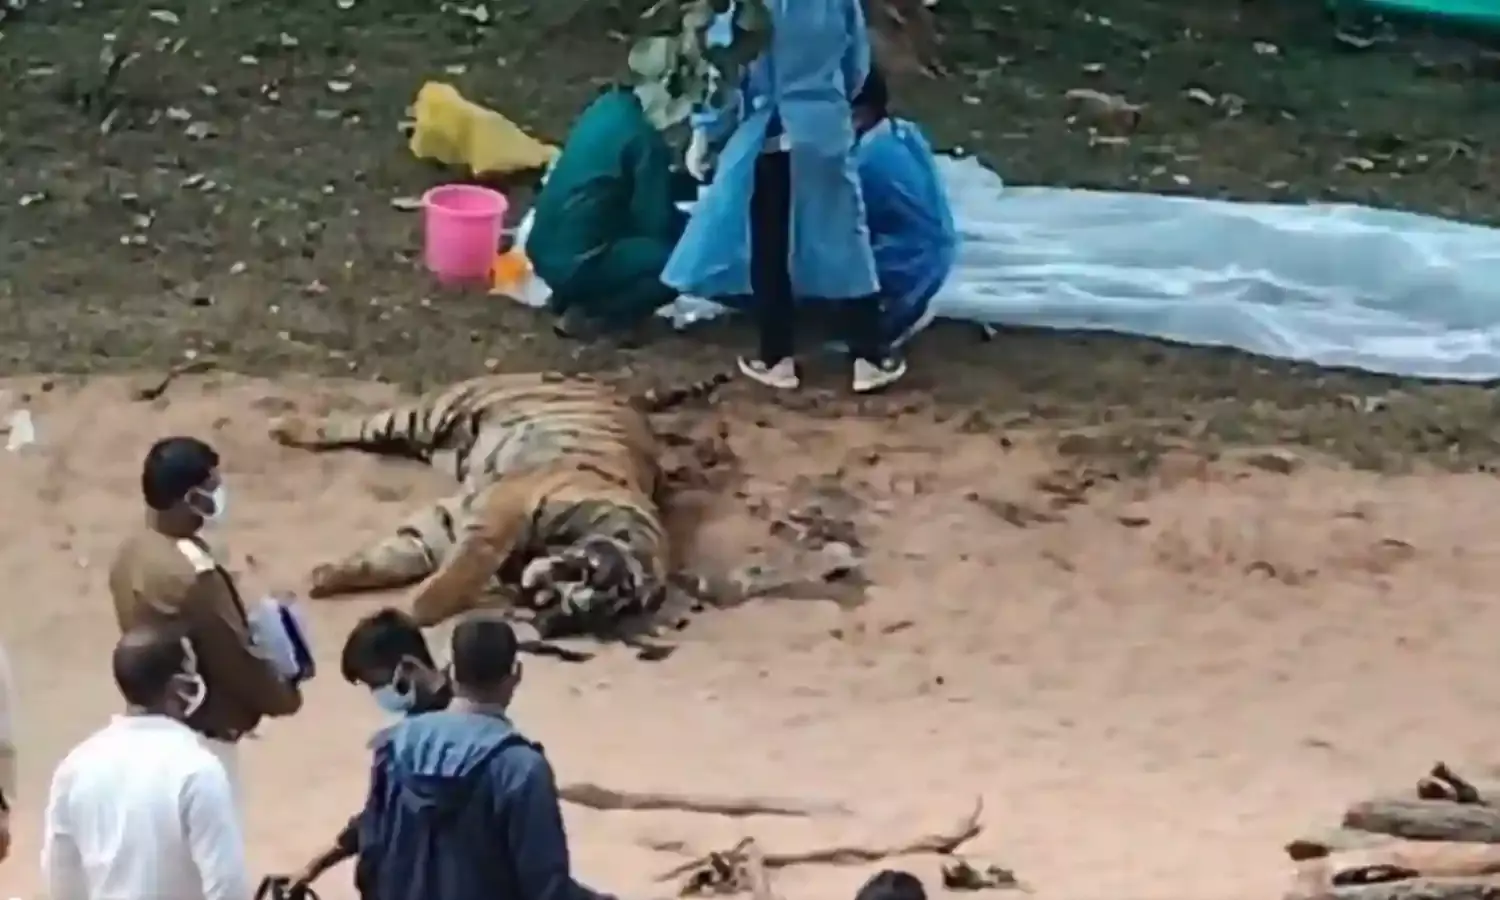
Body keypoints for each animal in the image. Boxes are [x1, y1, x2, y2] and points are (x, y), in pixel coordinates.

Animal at [266, 371, 728, 636]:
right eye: (587, 578)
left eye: (571, 609)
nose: (540, 597)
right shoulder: (505, 506)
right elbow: (465, 569)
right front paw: (420, 607)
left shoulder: (459, 514)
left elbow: (403, 551)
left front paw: (330, 575)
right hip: (430, 411)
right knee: (357, 422)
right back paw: (286, 427)